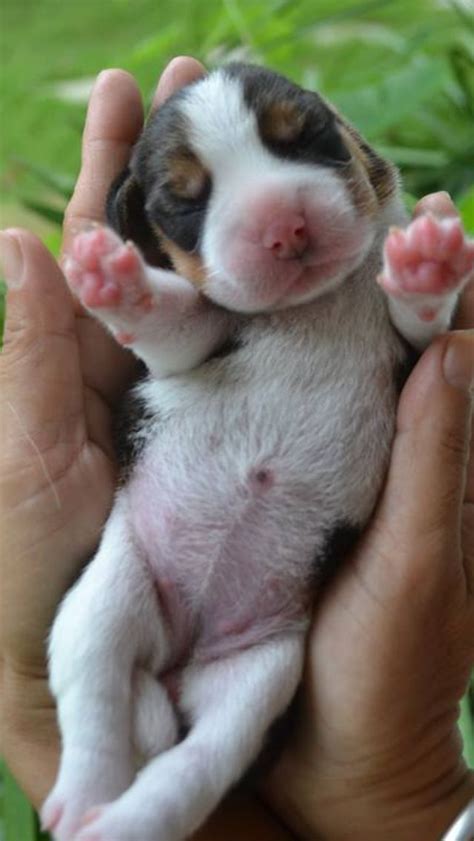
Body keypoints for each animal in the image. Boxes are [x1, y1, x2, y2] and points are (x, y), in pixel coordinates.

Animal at [42, 64, 472, 840]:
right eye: (184, 200)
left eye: (304, 135)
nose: (283, 224)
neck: (311, 306)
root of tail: (179, 656)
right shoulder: (184, 350)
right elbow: (172, 319)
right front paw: (116, 284)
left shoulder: (417, 351)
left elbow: (425, 320)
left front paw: (427, 264)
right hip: (104, 595)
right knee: (94, 693)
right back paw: (86, 797)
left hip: (261, 674)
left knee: (197, 764)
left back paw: (125, 818)